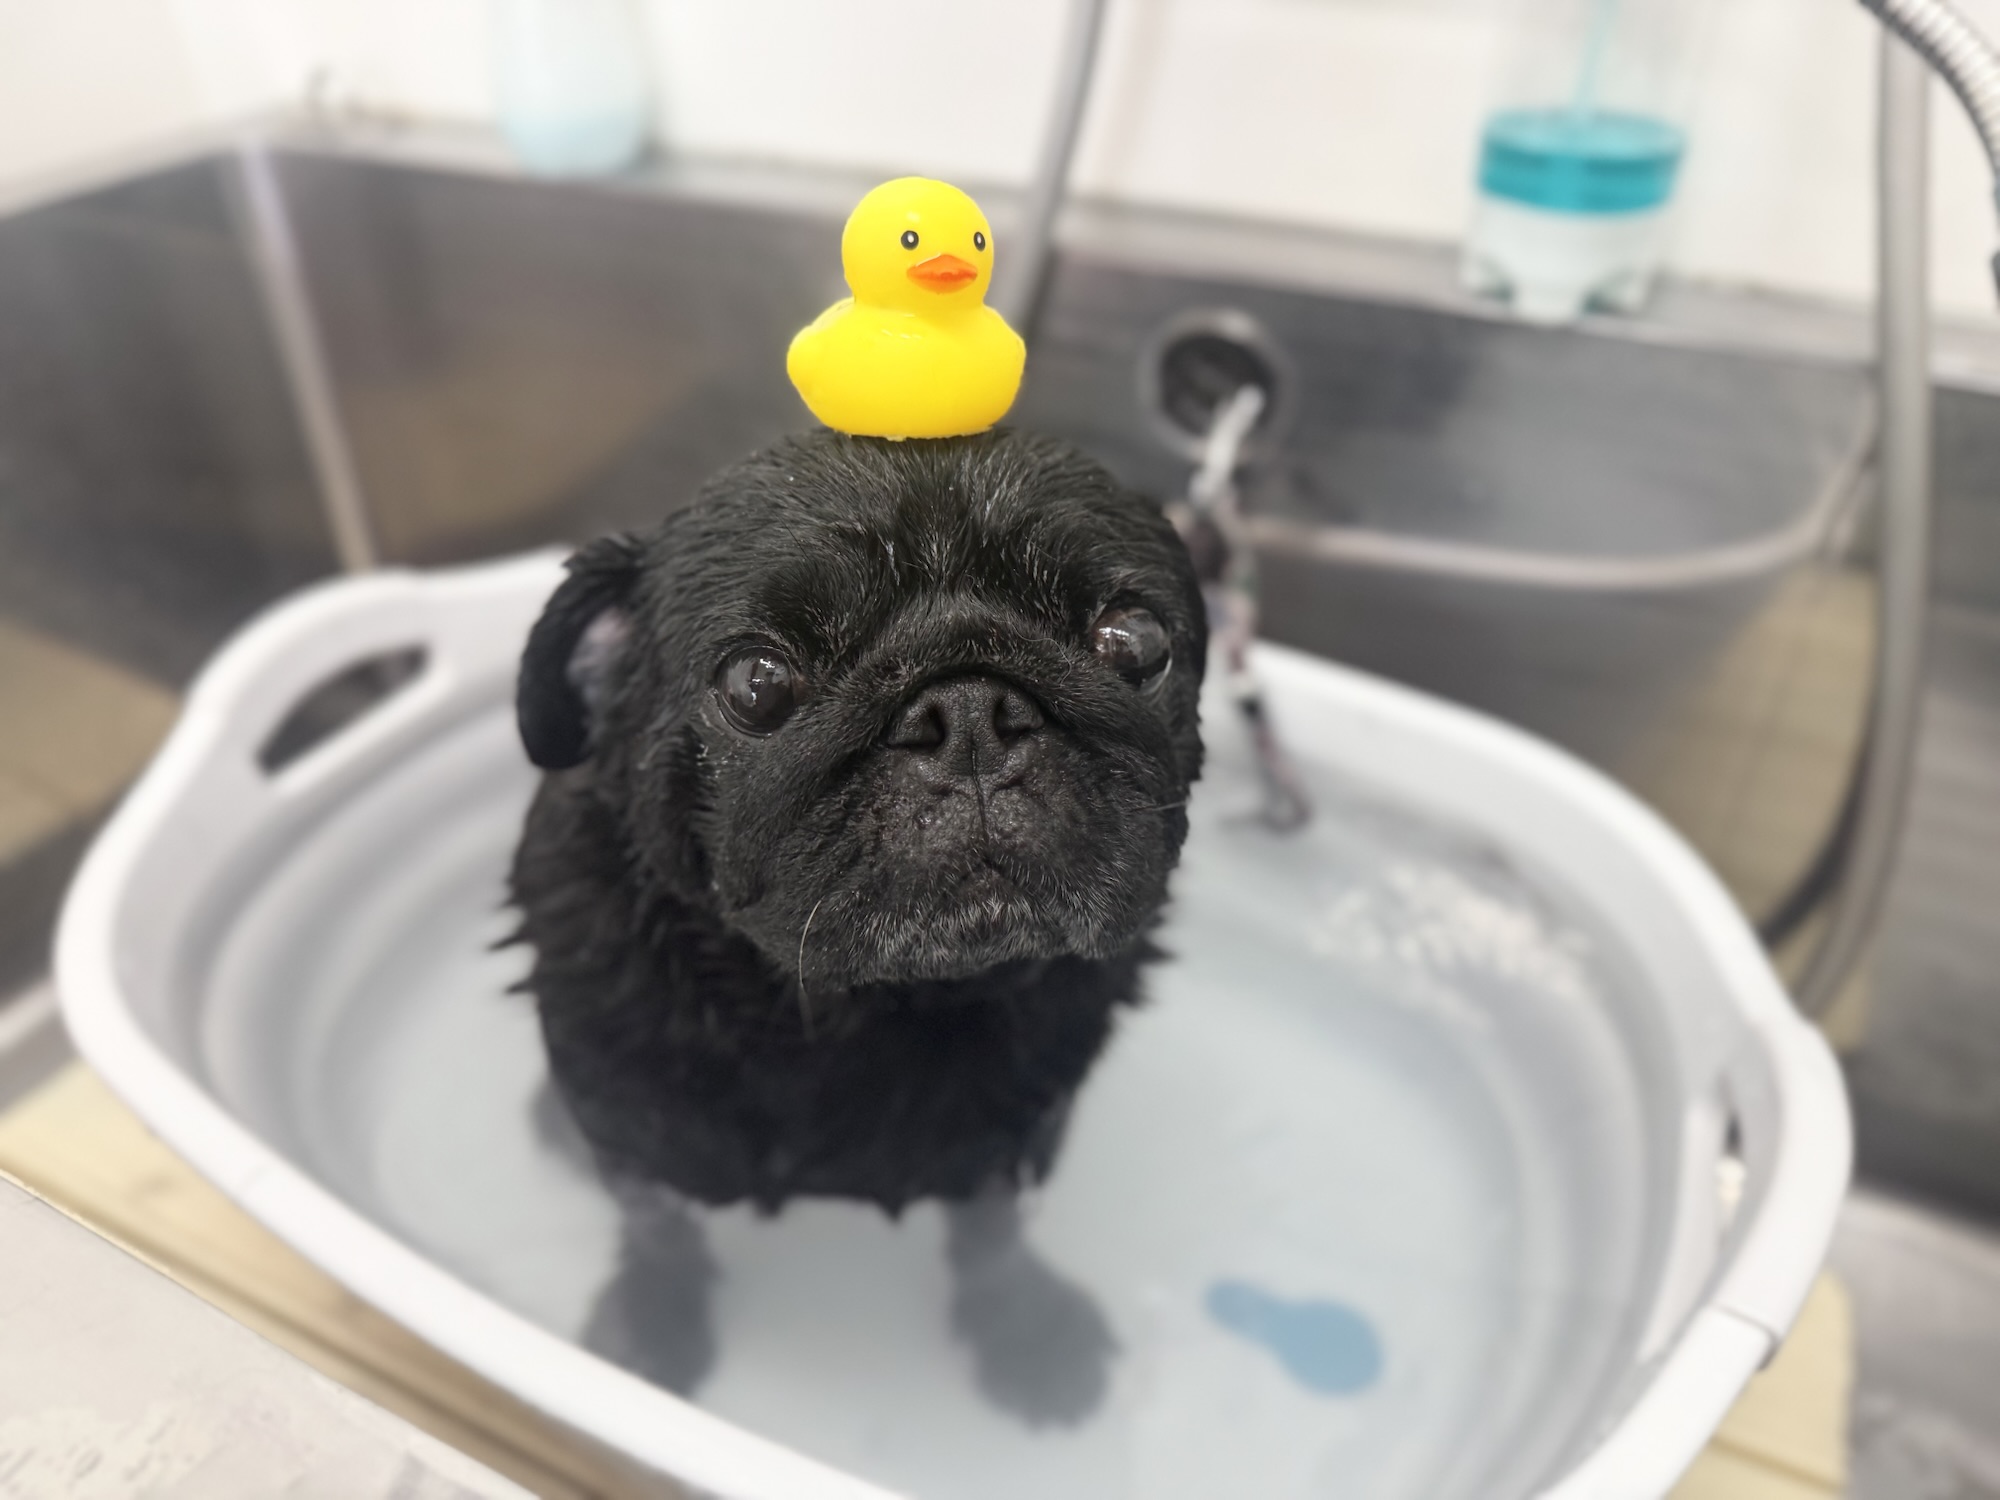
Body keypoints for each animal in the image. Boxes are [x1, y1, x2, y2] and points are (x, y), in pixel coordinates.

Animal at [510, 427, 1206, 1422]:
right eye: (756, 682)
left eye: (1135, 639)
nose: (968, 711)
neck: (858, 1011)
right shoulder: (633, 1128)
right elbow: (660, 1233)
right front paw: (652, 1324)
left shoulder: (1015, 1136)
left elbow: (992, 1238)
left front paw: (1021, 1330)